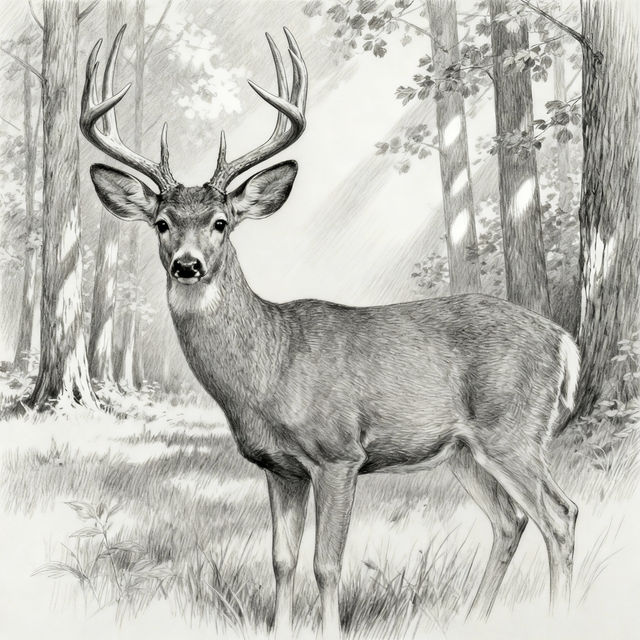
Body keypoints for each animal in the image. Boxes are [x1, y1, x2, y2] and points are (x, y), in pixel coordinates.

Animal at [81, 25, 579, 639]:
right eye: (161, 223)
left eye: (221, 222)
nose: (188, 265)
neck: (270, 369)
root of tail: (562, 340)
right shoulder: (280, 468)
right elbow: (282, 559)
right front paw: (279, 630)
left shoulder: (340, 454)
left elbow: (326, 562)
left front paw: (331, 629)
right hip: (465, 451)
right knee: (511, 522)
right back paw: (473, 617)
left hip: (513, 430)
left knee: (560, 516)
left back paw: (557, 616)